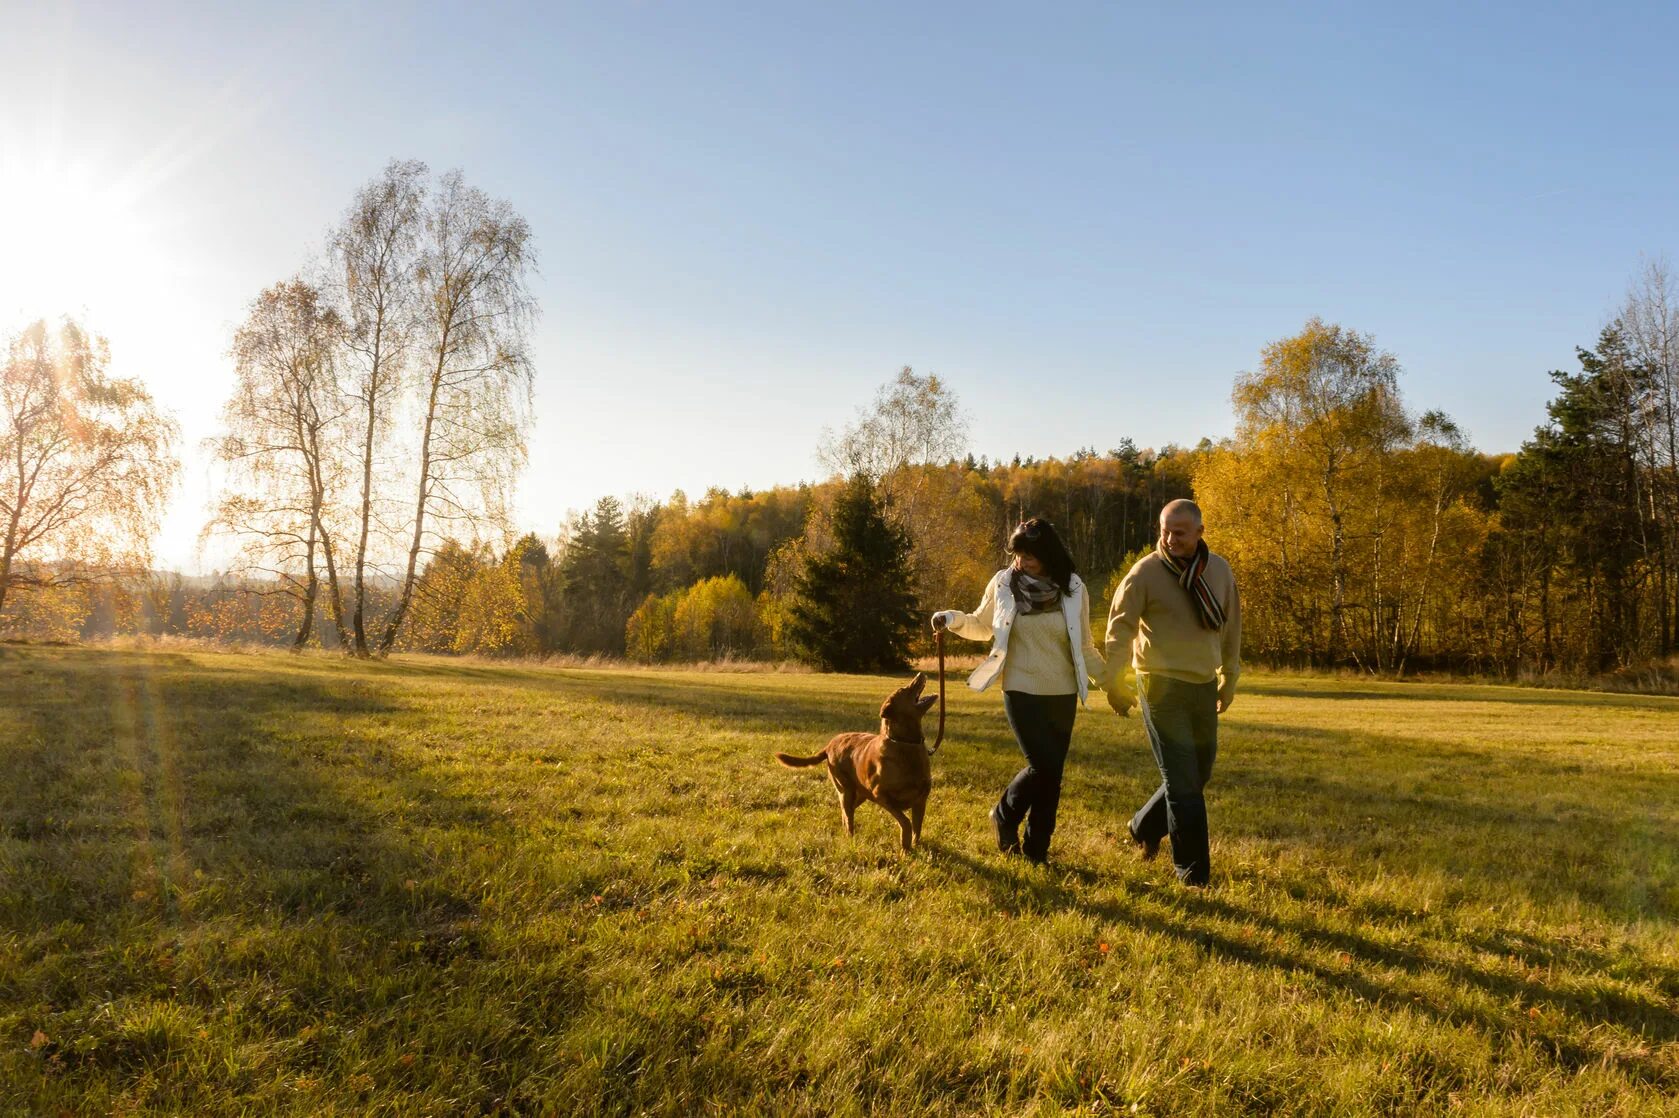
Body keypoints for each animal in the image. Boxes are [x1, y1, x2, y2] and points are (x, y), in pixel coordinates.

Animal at [775, 671, 940, 852]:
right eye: (904, 689)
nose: (920, 673)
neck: (905, 743)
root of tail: (829, 745)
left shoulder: (920, 800)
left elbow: (917, 827)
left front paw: (915, 847)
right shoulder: (881, 795)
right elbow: (906, 822)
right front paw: (905, 846)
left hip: (859, 793)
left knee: (846, 814)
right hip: (846, 790)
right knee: (848, 816)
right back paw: (850, 839)